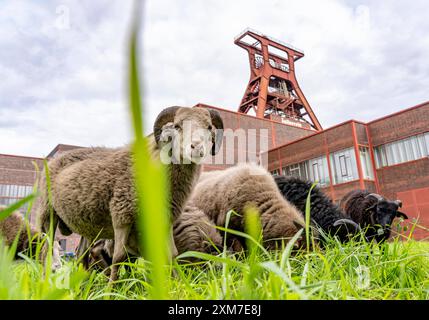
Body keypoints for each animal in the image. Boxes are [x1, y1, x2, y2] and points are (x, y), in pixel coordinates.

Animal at [36, 105, 224, 280]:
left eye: (209, 127)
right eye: (177, 126)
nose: (196, 147)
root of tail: (55, 159)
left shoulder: (166, 220)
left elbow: (173, 254)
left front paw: (178, 285)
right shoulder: (121, 215)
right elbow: (118, 257)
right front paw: (111, 288)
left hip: (86, 226)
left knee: (81, 253)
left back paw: (83, 286)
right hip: (47, 214)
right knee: (46, 250)